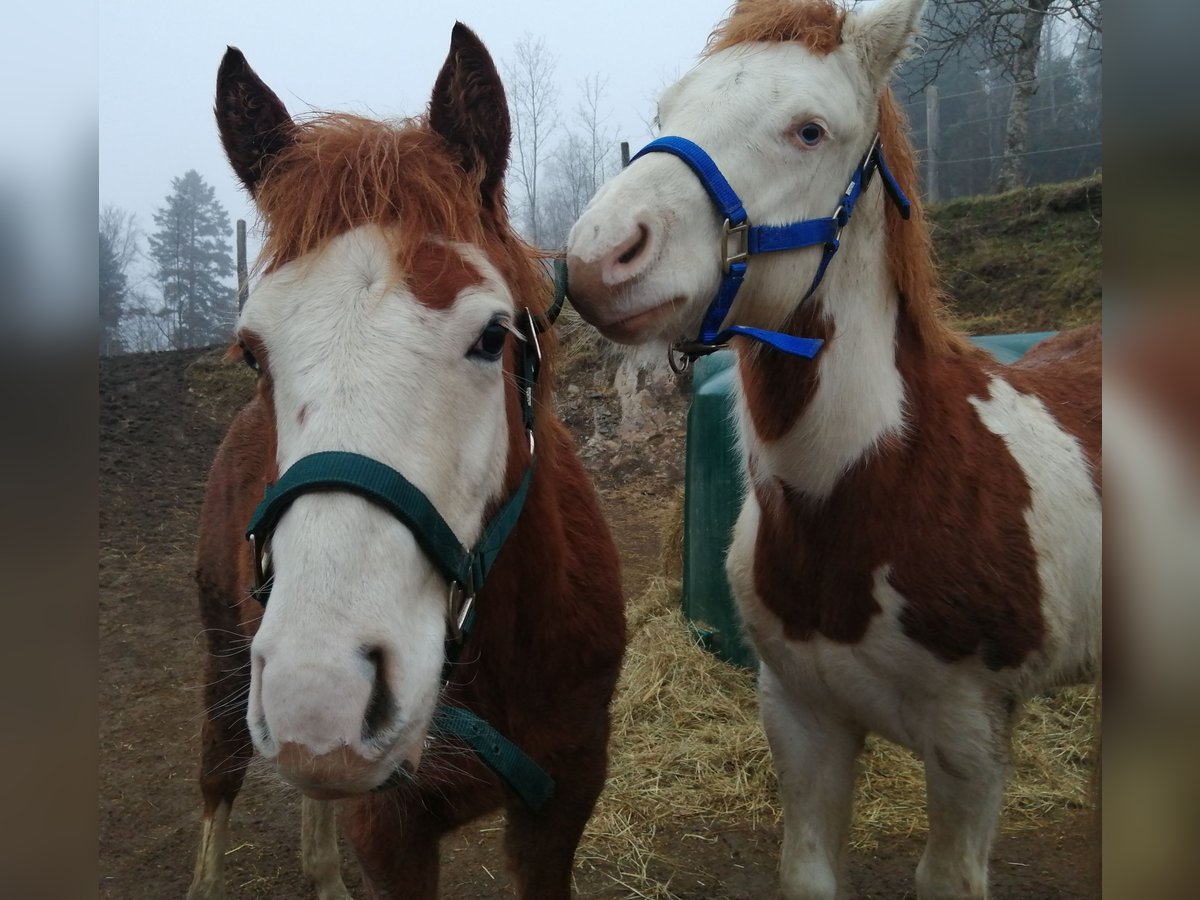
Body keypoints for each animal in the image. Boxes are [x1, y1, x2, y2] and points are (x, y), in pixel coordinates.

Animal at [187, 24, 628, 897]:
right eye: (253, 352)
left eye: (492, 336)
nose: (318, 696)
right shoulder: (392, 833)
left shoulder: (564, 801)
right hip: (225, 661)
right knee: (218, 779)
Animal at [566, 1, 1099, 900]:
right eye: (666, 114)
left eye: (809, 130)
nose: (599, 256)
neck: (888, 484)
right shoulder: (801, 719)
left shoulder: (970, 749)